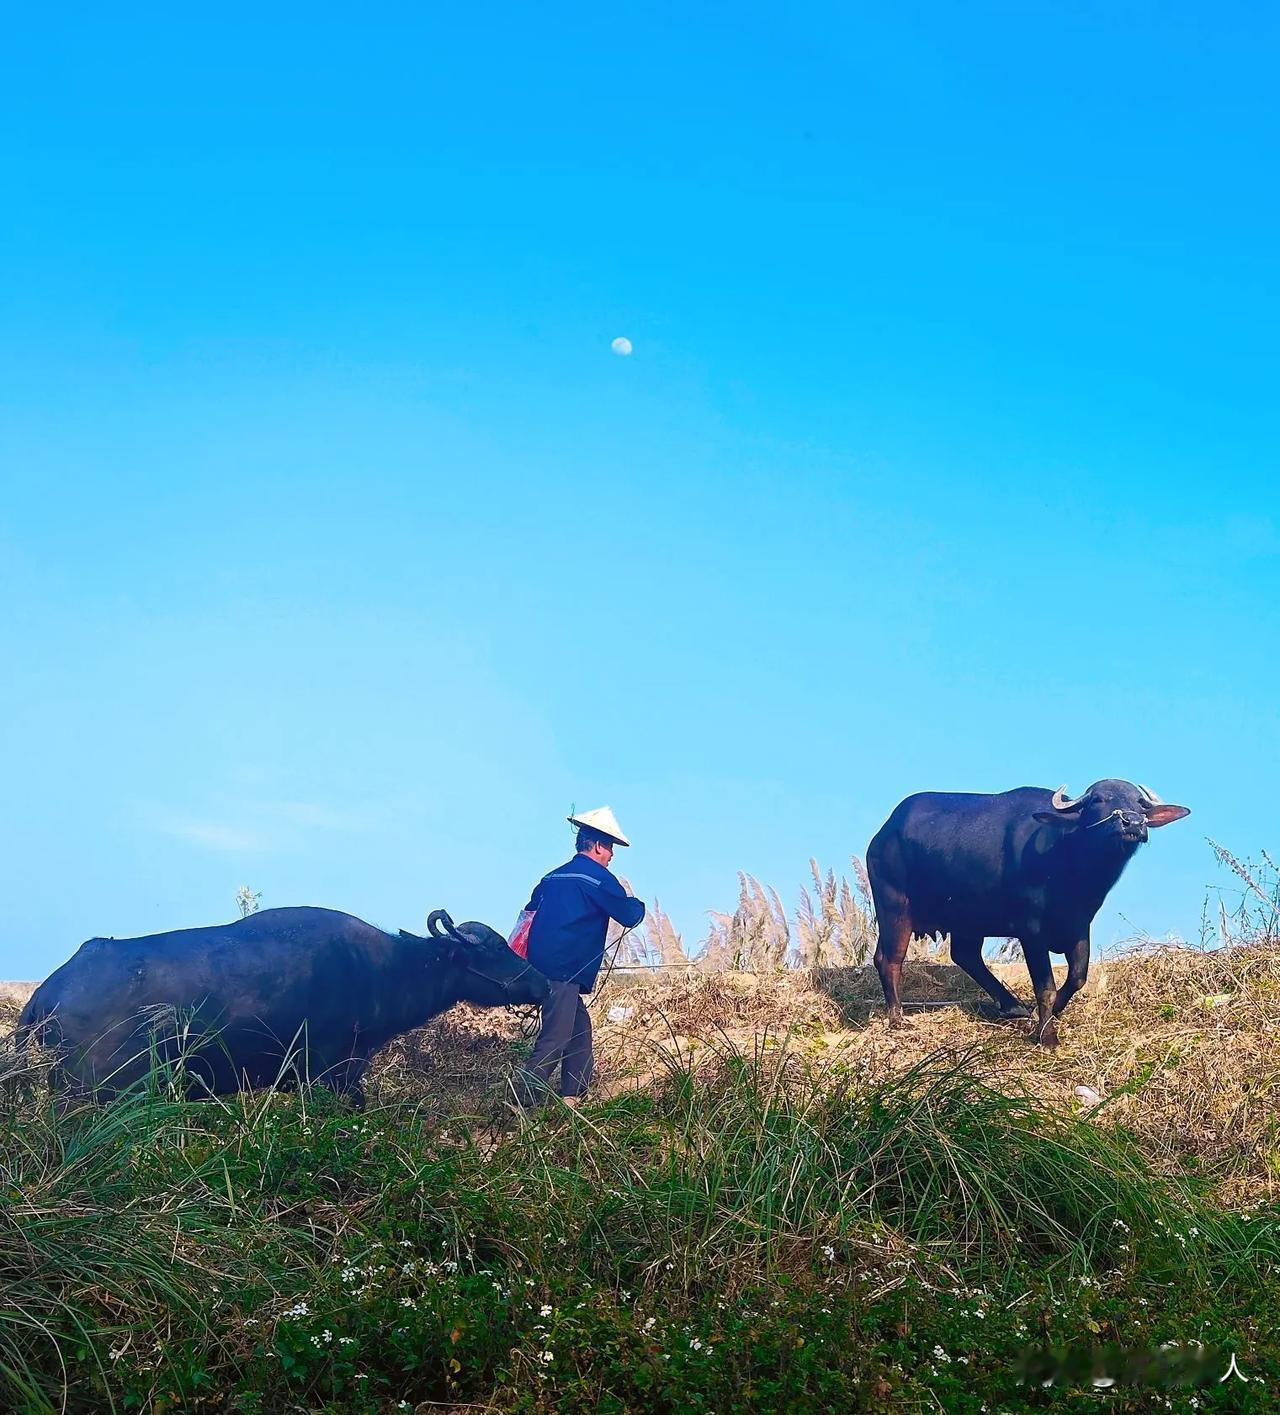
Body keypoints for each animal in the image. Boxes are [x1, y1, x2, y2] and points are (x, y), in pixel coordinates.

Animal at [865, 781, 1193, 1047]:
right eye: (1099, 799)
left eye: (1140, 803)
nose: (1132, 822)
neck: (1070, 863)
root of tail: (883, 834)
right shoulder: (1031, 930)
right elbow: (1045, 986)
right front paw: (1047, 1036)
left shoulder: (1079, 926)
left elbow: (1077, 977)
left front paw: (1047, 1013)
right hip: (894, 905)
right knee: (889, 959)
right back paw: (897, 1019)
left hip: (967, 919)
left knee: (965, 955)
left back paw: (1012, 1006)